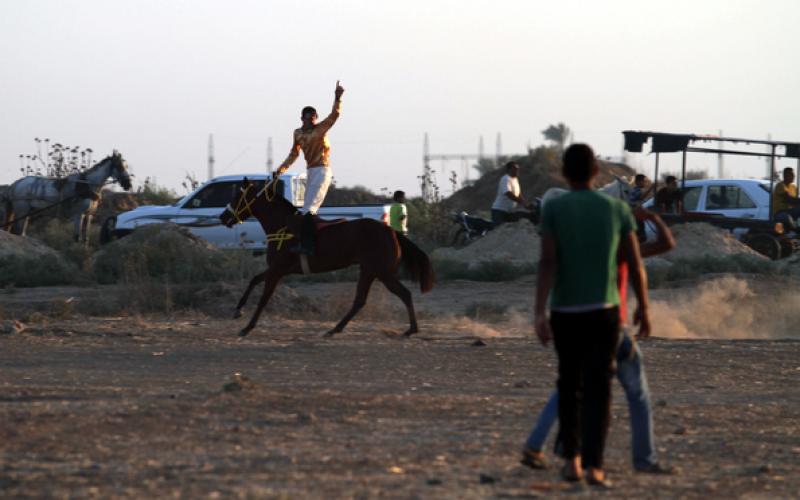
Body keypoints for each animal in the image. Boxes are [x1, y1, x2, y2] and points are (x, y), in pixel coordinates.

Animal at [3, 150, 131, 242]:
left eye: (125, 165)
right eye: (119, 166)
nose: (128, 184)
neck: (86, 184)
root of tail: (16, 184)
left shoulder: (89, 215)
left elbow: (85, 238)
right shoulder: (79, 214)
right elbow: (77, 237)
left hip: (28, 210)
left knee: (20, 230)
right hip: (22, 209)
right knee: (16, 230)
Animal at [217, 178, 432, 338]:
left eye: (237, 196)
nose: (222, 217)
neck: (283, 227)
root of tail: (391, 231)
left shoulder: (277, 270)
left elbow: (263, 299)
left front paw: (246, 328)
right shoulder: (278, 269)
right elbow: (254, 280)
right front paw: (238, 311)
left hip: (381, 271)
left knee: (402, 294)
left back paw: (411, 329)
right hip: (370, 270)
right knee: (362, 300)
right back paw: (336, 328)